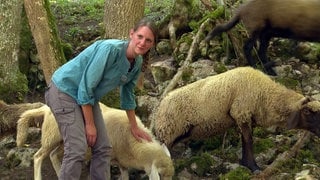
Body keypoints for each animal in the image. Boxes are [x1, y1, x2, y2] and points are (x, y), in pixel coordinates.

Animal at [16, 102, 174, 180]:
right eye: (161, 176)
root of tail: (45, 107)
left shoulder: (121, 160)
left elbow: (125, 177)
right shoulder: (108, 158)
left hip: (64, 142)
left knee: (53, 155)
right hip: (51, 136)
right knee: (38, 157)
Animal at [152, 66, 320, 173]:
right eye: (307, 112)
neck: (266, 95)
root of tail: (162, 103)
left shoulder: (246, 117)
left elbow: (245, 141)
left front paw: (246, 164)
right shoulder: (241, 112)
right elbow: (249, 140)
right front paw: (254, 168)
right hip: (169, 131)